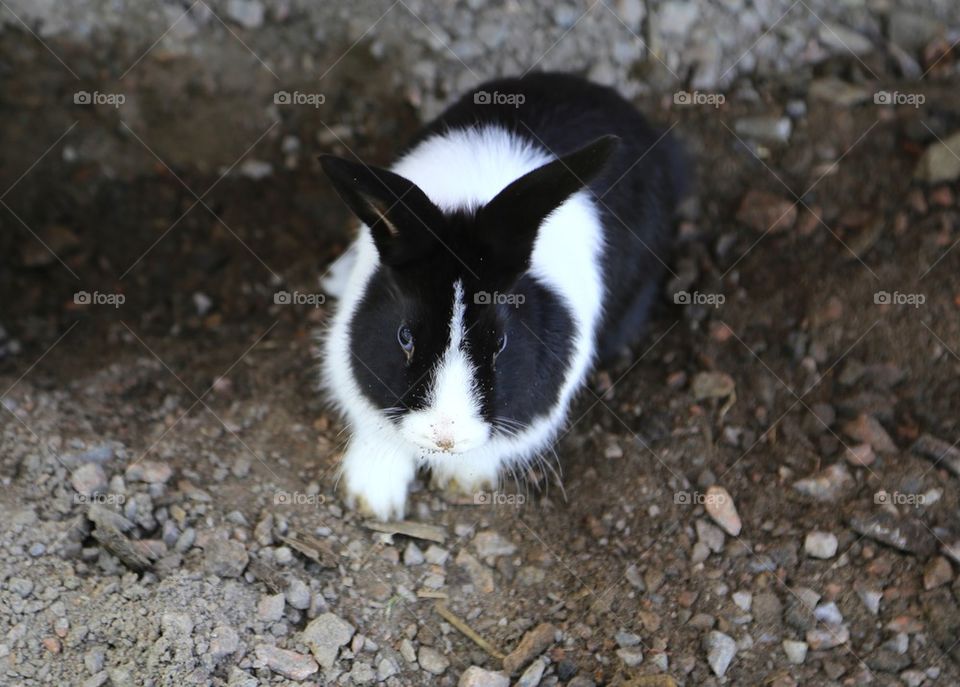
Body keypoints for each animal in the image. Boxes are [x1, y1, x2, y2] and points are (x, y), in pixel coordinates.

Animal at [319, 72, 687, 520]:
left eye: (502, 343)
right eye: (404, 336)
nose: (445, 438)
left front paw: (462, 482)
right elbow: (379, 434)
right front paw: (371, 501)